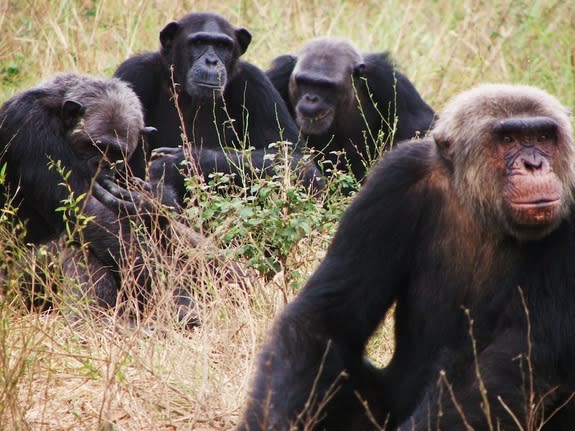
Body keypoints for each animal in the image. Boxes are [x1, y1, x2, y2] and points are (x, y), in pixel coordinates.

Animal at [0, 72, 198, 326]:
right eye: (96, 145)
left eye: (117, 153)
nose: (102, 164)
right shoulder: (30, 127)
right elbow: (90, 211)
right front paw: (174, 296)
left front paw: (152, 203)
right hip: (17, 286)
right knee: (75, 242)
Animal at [115, 11, 322, 204]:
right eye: (198, 42)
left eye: (223, 46)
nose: (211, 61)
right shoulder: (133, 73)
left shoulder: (256, 83)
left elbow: (297, 161)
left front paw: (180, 162)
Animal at [236, 85, 575, 431]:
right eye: (508, 139)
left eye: (543, 136)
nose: (534, 163)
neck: (477, 204)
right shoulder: (393, 182)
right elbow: (326, 319)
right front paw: (271, 421)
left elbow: (522, 353)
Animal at [268, 37, 434, 184]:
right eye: (304, 82)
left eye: (325, 86)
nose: (311, 98)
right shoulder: (279, 75)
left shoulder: (388, 80)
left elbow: (419, 126)